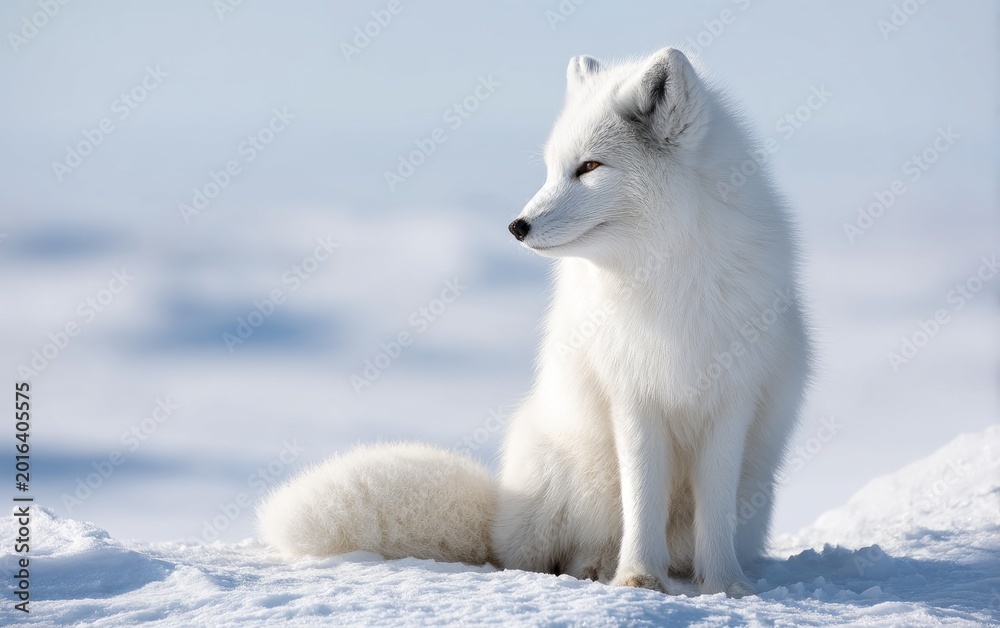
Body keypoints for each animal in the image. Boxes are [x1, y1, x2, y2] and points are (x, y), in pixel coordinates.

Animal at [258, 46, 810, 598]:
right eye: (551, 170)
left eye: (589, 166)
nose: (516, 226)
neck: (665, 282)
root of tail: (498, 518)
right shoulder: (631, 395)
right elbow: (641, 499)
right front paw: (637, 579)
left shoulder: (732, 400)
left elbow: (713, 512)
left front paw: (727, 585)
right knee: (541, 558)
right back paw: (593, 567)